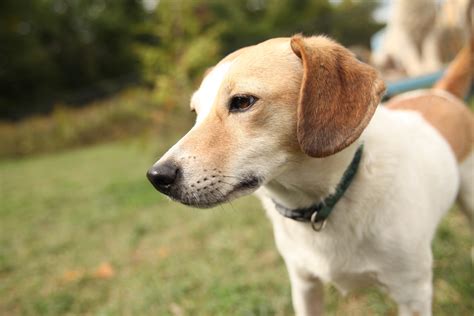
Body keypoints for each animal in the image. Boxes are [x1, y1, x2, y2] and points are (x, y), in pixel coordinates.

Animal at [146, 35, 472, 316]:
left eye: (242, 101)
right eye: (195, 113)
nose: (157, 177)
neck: (325, 201)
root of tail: (440, 92)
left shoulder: (412, 294)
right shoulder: (304, 285)